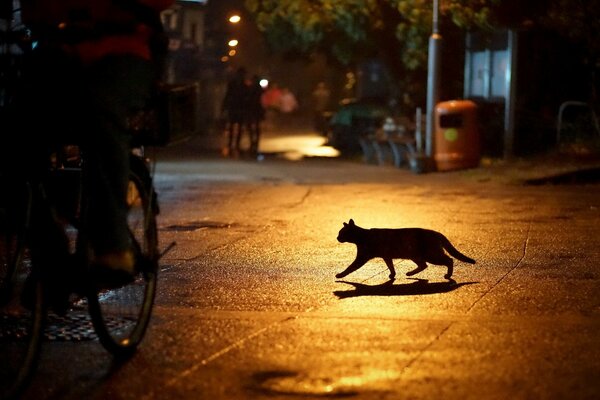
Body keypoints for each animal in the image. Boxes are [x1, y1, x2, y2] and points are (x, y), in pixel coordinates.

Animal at [336, 219, 476, 282]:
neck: (362, 236)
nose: (337, 238)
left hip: (431, 255)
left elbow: (350, 267)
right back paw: (410, 274)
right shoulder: (387, 256)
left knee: (449, 260)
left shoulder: (362, 257)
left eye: (341, 233)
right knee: (424, 265)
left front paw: (340, 275)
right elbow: (391, 267)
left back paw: (448, 275)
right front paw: (392, 275)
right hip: (416, 255)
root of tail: (437, 233)